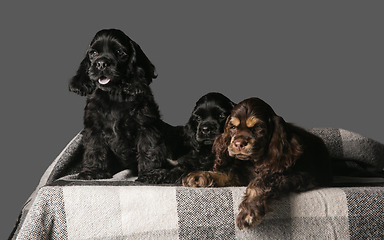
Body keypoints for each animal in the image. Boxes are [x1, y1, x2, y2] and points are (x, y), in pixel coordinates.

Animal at [68, 28, 181, 182]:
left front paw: (150, 174)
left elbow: (149, 148)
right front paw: (94, 171)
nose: (101, 63)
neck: (115, 94)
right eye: (94, 53)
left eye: (119, 52)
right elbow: (94, 148)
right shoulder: (94, 128)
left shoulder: (146, 125)